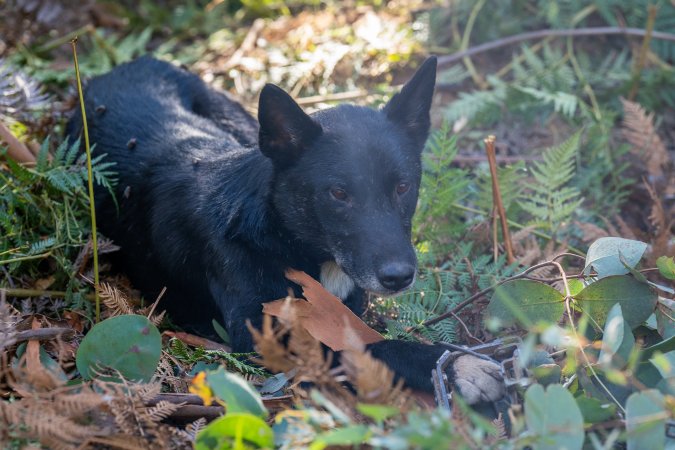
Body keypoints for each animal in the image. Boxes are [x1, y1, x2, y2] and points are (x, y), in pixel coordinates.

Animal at [68, 56, 504, 404]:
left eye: (402, 187)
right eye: (338, 193)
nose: (398, 277)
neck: (284, 237)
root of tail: (130, 64)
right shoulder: (267, 341)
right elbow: (374, 349)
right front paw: (455, 365)